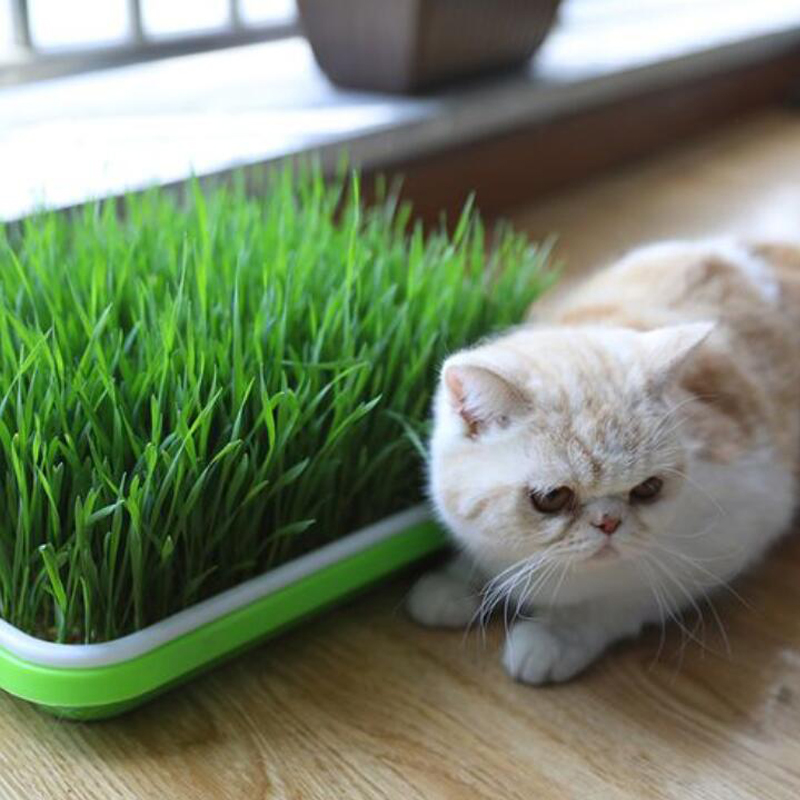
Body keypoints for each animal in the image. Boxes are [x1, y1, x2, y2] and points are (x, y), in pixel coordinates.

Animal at [406, 241, 800, 684]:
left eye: (648, 488)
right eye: (552, 498)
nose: (608, 522)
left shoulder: (737, 528)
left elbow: (619, 600)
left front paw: (555, 636)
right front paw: (454, 582)